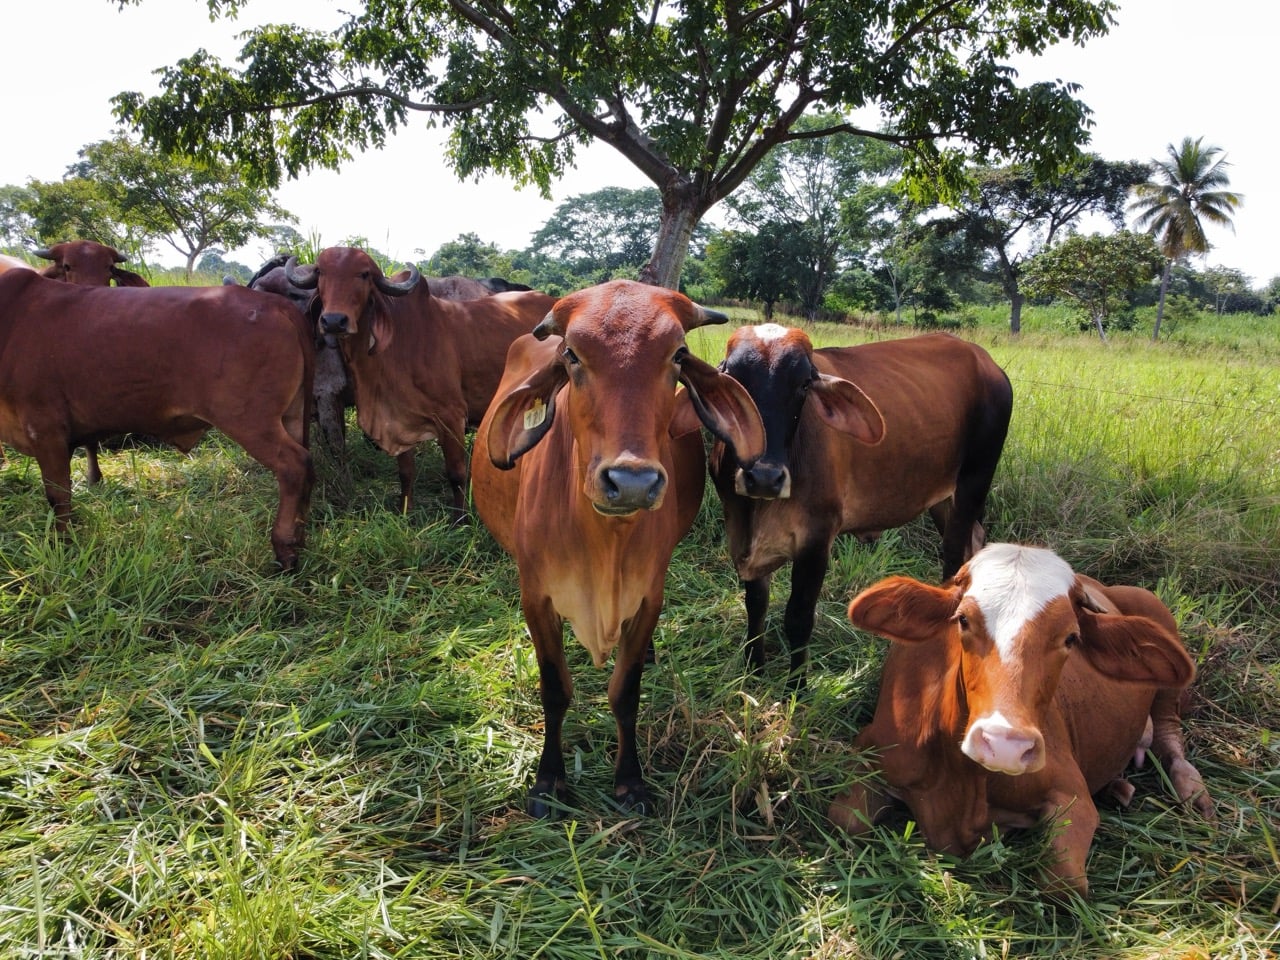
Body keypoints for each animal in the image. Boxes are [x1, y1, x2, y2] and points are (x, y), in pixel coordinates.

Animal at [0, 269, 315, 571]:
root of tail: (273, 302)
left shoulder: (45, 428)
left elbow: (58, 496)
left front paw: (62, 545)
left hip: (249, 420)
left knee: (293, 465)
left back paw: (284, 549)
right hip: (292, 416)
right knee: (308, 464)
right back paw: (299, 537)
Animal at [283, 247, 556, 517]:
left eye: (364, 275)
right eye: (320, 272)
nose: (333, 321)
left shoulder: (452, 416)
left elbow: (456, 473)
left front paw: (461, 518)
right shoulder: (396, 418)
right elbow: (406, 472)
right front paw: (406, 512)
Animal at [471, 279, 766, 817]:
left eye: (678, 355)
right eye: (571, 355)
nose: (631, 482)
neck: (604, 543)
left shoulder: (649, 597)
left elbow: (625, 693)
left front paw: (630, 781)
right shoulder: (536, 599)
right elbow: (555, 690)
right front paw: (548, 781)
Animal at [710, 326, 1013, 688]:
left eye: (804, 384)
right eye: (732, 377)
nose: (764, 477)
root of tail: (988, 363)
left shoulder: (817, 539)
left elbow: (798, 617)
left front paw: (796, 687)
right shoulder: (742, 536)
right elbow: (756, 604)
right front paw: (754, 671)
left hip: (973, 482)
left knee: (954, 557)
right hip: (943, 499)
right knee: (974, 542)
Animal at [826, 543, 1215, 897]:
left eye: (1071, 638)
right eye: (963, 620)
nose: (1004, 745)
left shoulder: (1070, 790)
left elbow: (1064, 883)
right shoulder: (871, 751)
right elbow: (846, 820)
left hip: (1158, 616)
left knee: (1168, 729)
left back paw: (1192, 789)